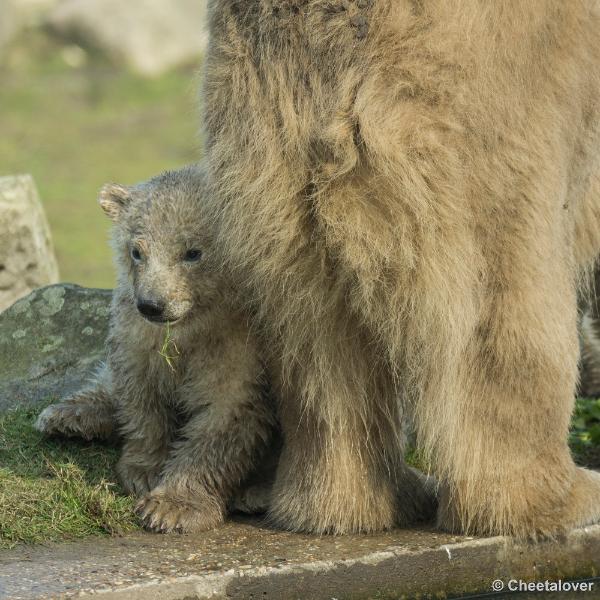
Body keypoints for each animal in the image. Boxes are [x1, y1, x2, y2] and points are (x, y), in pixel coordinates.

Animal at [200, 0, 600, 536]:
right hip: (484, 106)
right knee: (504, 299)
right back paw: (555, 497)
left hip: (270, 134)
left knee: (313, 326)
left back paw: (346, 503)